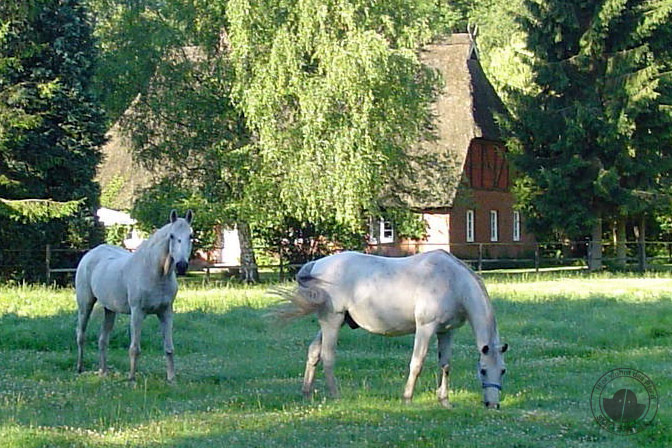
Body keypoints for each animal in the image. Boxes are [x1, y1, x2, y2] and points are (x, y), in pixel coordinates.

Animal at [75, 210, 193, 382]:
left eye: (191, 235)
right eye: (171, 236)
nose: (182, 265)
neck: (155, 273)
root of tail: (90, 254)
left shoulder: (166, 312)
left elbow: (169, 348)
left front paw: (171, 379)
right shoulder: (137, 312)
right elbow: (134, 348)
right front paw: (131, 379)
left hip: (110, 310)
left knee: (103, 340)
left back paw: (103, 372)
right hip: (85, 305)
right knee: (81, 335)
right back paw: (79, 368)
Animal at [276, 250, 506, 408]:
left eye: (503, 371)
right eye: (483, 370)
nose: (492, 405)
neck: (451, 281)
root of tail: (317, 264)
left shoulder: (446, 332)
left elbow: (445, 365)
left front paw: (445, 402)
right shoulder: (425, 328)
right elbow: (417, 363)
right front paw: (407, 399)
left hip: (333, 323)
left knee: (314, 352)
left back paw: (307, 393)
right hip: (332, 321)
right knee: (328, 356)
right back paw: (336, 396)